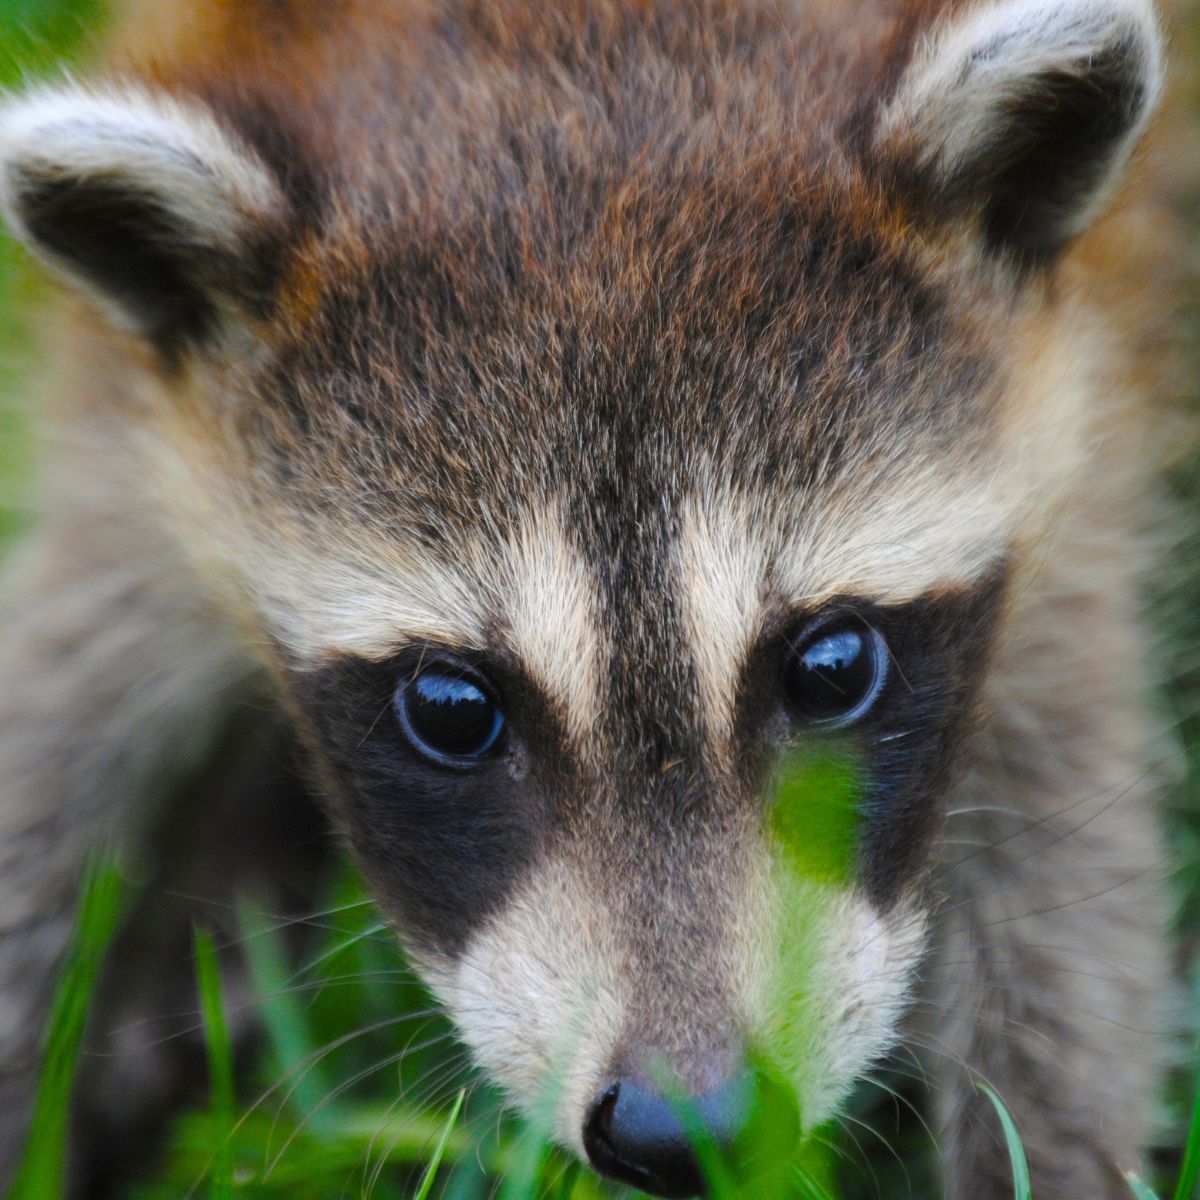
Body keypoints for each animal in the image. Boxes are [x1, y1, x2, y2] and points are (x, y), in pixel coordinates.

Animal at [0, 0, 1185, 1195]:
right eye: (452, 711)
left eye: (830, 668)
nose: (688, 1125)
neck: (578, 54)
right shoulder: (134, 442)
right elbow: (53, 723)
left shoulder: (1069, 429)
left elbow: (1064, 866)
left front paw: (1046, 1148)